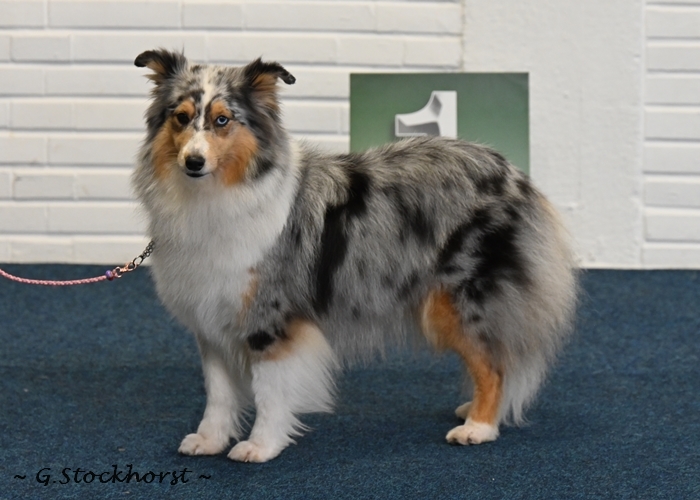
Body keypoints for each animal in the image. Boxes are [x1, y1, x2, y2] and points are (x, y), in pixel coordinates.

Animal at [132, 49, 578, 463]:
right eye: (181, 117)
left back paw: (479, 427)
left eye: (223, 120)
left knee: (494, 364)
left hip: (457, 300)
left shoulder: (269, 317)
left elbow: (269, 391)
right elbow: (219, 393)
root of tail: (514, 174)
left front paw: (260, 446)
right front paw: (209, 440)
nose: (193, 161)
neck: (215, 195)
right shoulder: (212, 319)